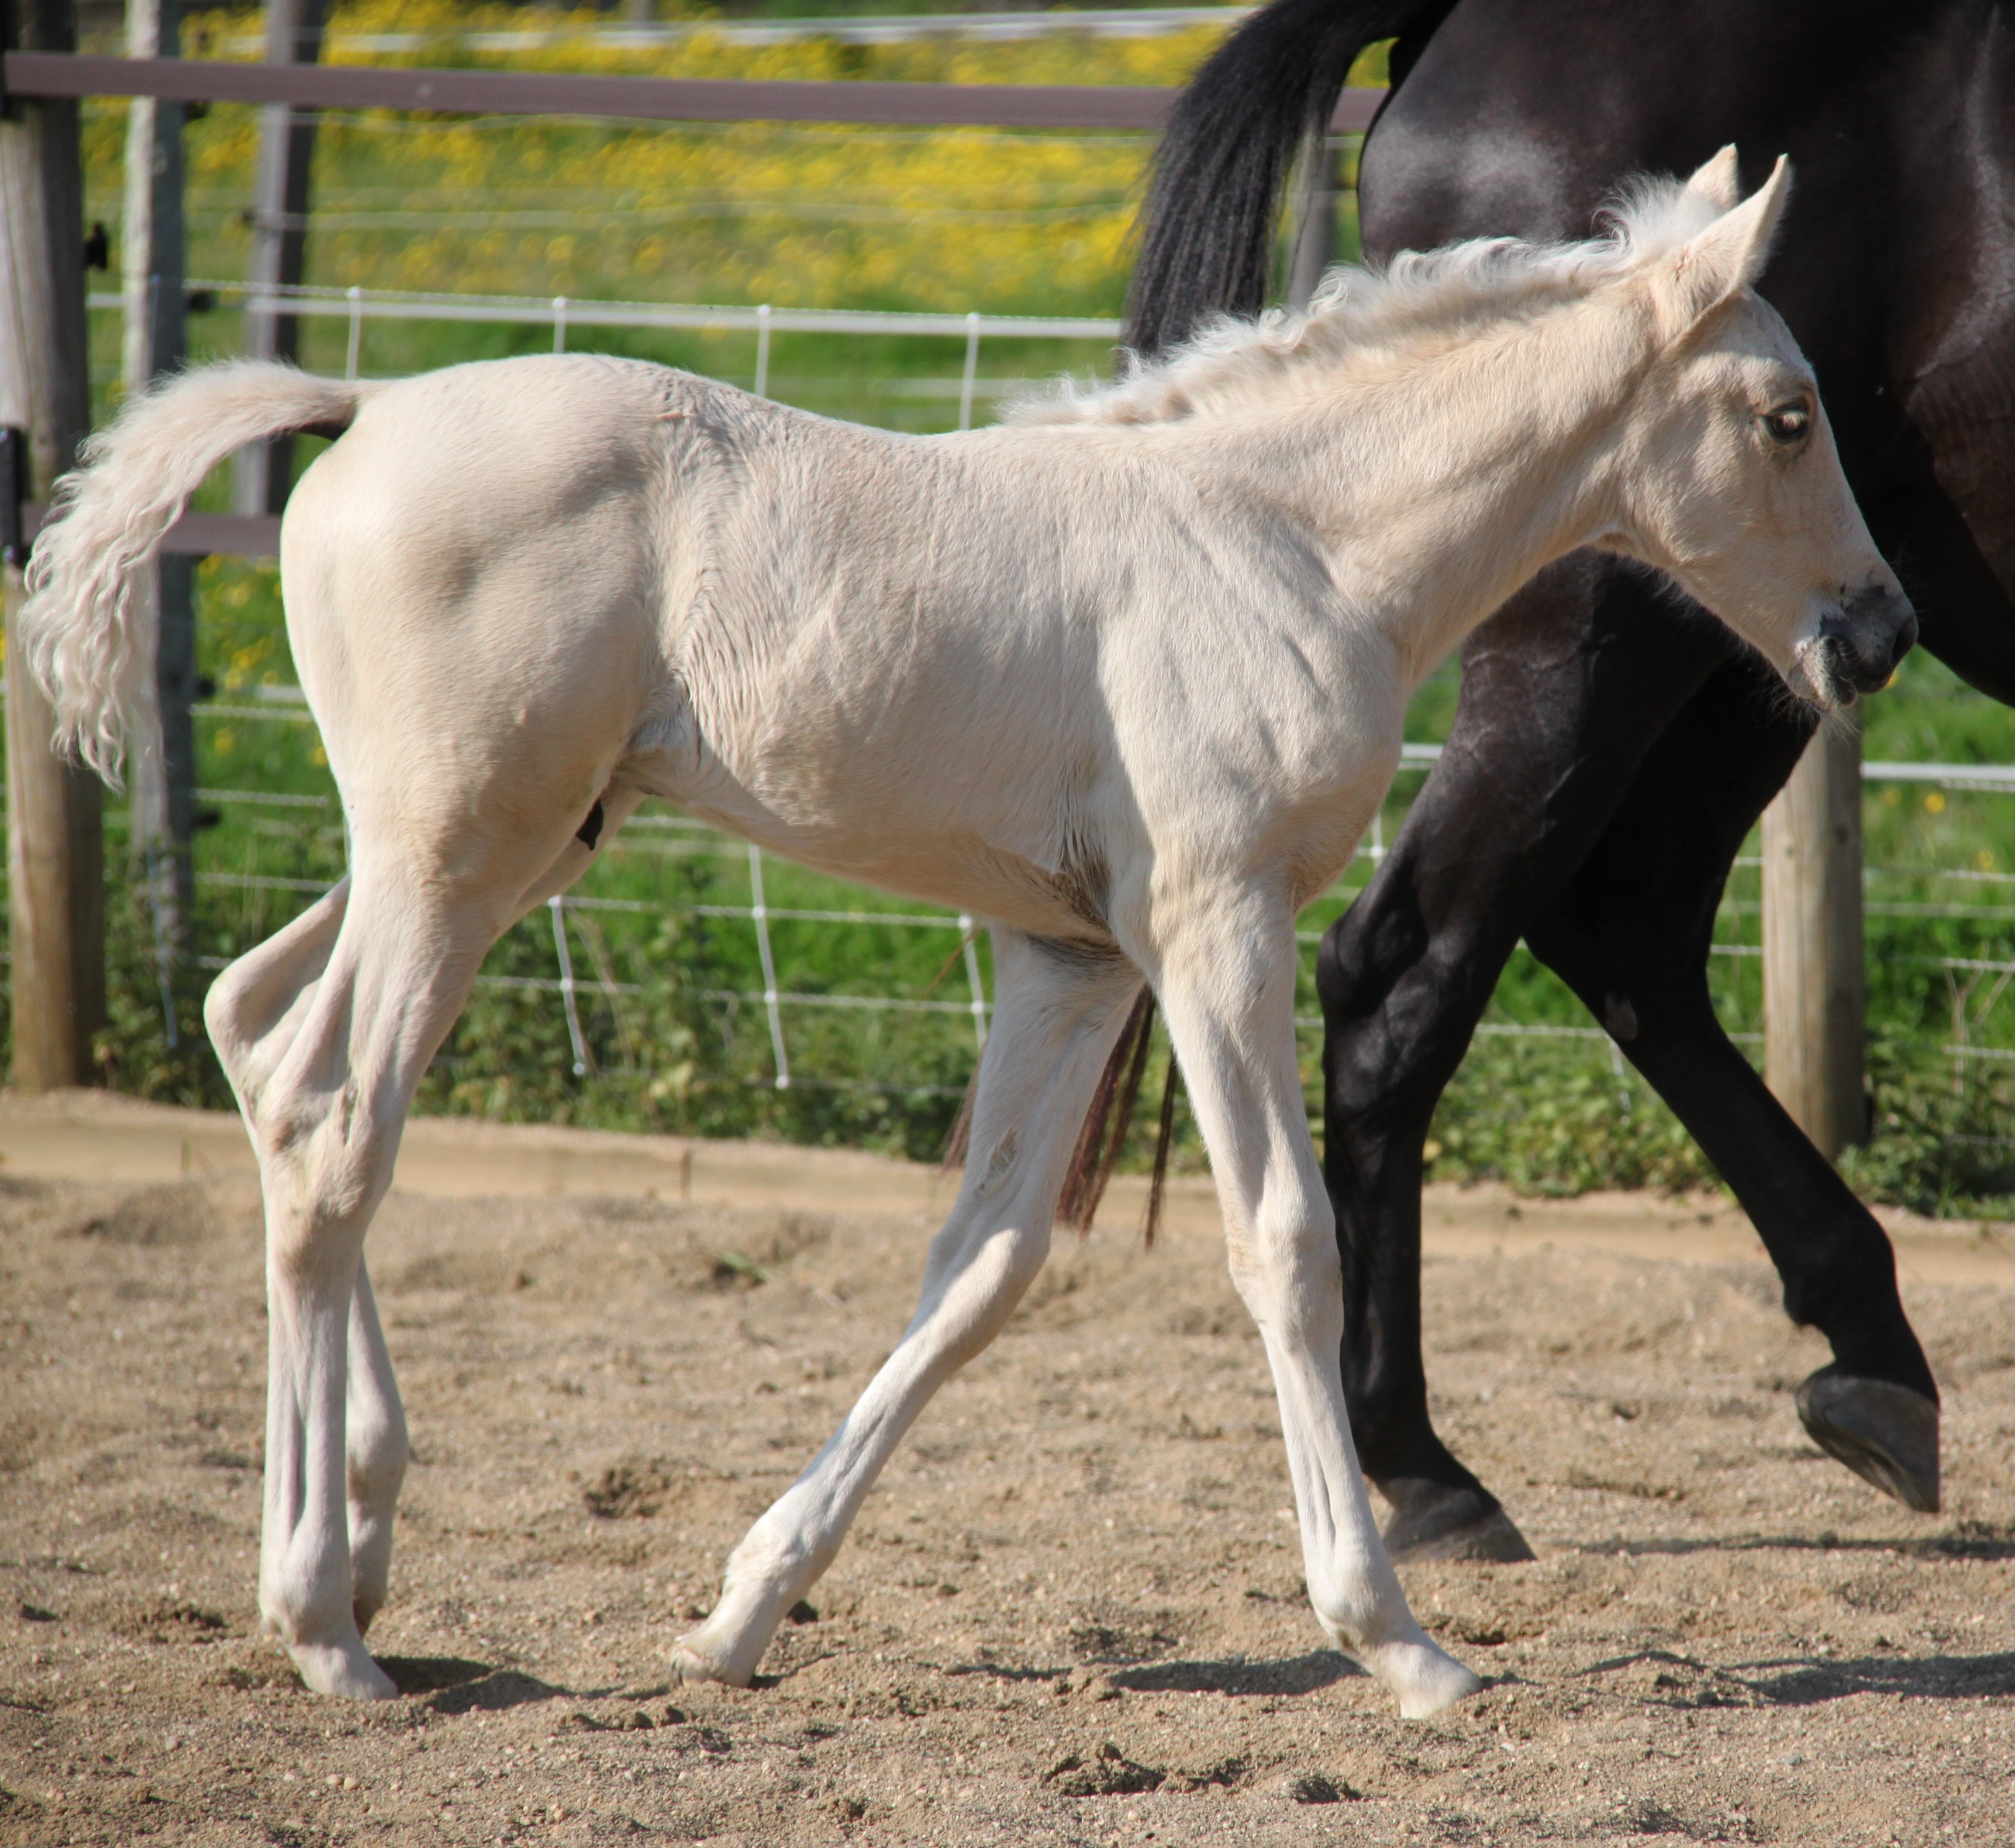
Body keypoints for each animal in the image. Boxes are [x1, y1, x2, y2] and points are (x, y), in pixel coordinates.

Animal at [1128, 0, 2007, 1556]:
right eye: (1787, 417)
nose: (1888, 631)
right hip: (1613, 643)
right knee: (1407, 973)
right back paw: (1422, 1463)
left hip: (1736, 663)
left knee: (1622, 935)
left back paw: (1870, 1363)